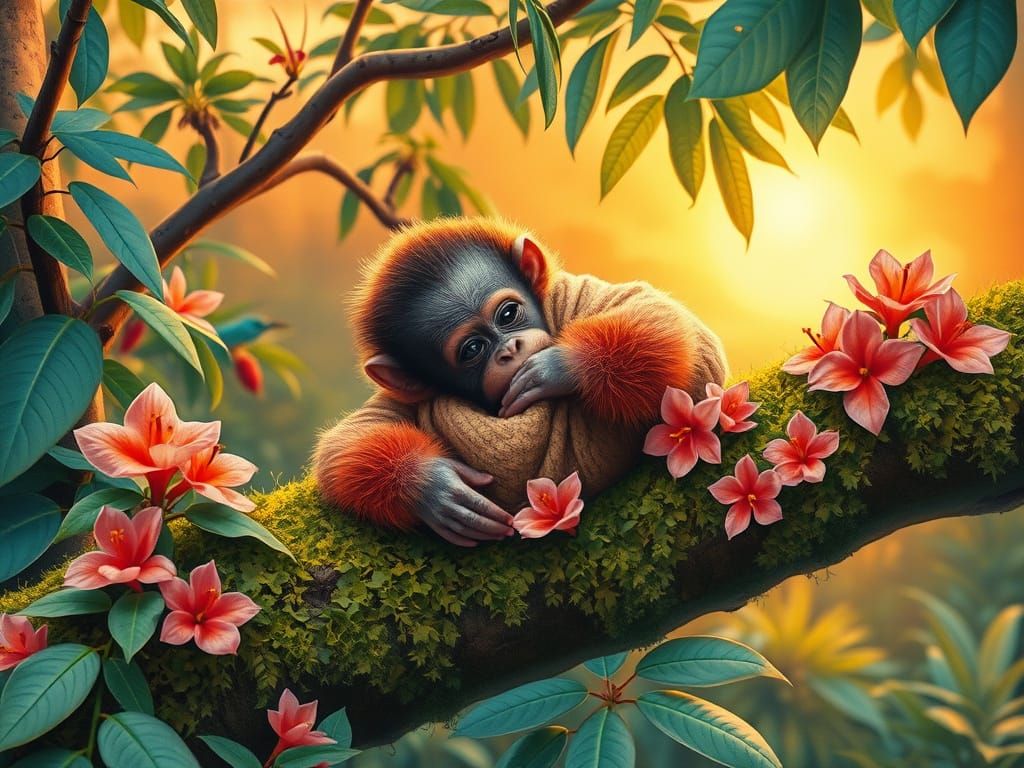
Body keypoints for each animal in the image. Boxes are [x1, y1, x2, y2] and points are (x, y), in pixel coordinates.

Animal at [314, 217, 728, 547]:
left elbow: (676, 328)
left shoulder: (573, 295)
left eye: (508, 313)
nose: (509, 349)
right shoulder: (402, 398)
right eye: (472, 349)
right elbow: (346, 442)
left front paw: (560, 367)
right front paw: (431, 485)